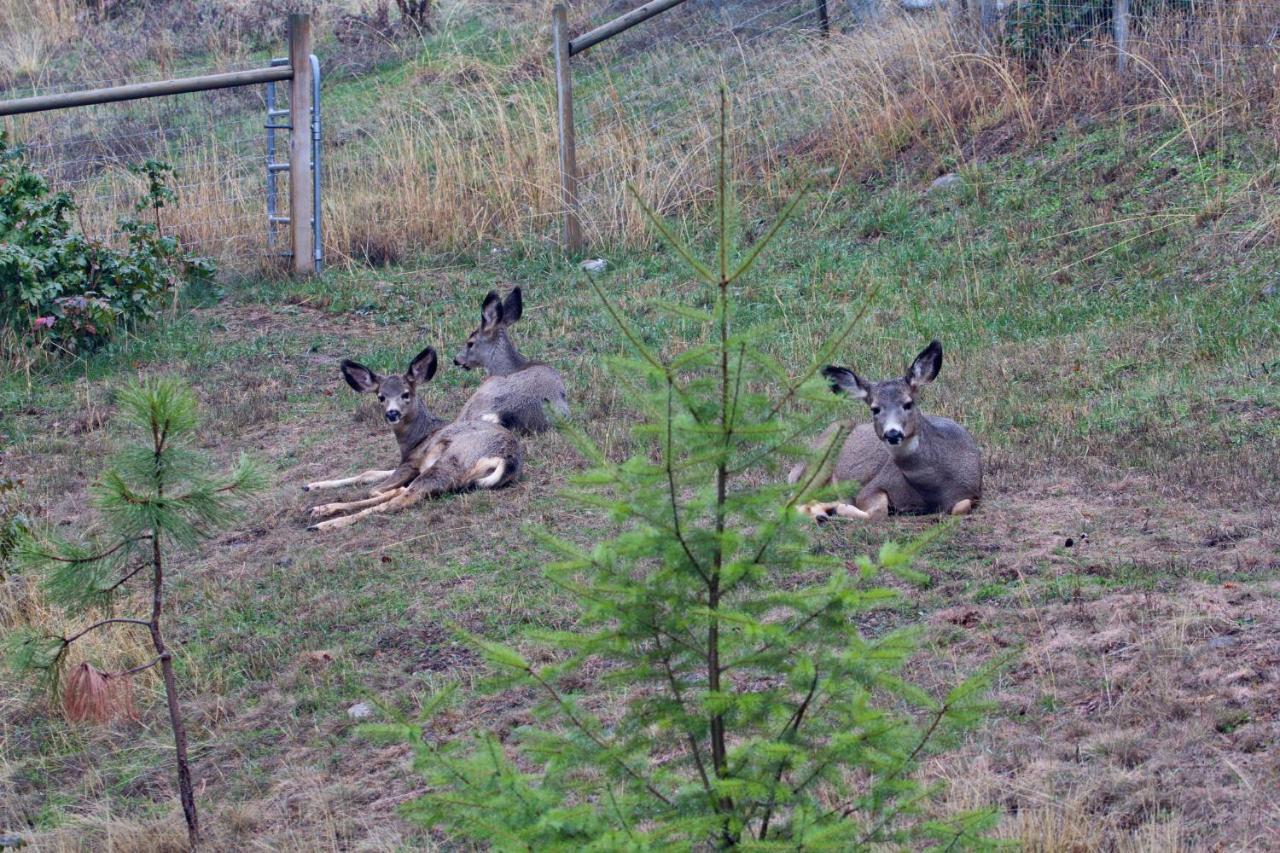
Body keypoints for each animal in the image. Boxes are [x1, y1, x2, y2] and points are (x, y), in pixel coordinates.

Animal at [302, 345, 522, 532]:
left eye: (406, 394)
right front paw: (311, 485)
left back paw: (324, 522)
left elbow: (374, 489)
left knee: (399, 500)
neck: (418, 438)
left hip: (450, 462)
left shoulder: (410, 463)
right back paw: (320, 509)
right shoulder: (412, 463)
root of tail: (506, 458)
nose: (392, 413)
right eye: (381, 397)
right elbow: (368, 473)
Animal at [788, 338, 977, 517]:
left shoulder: (973, 492)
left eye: (908, 404)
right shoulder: (873, 486)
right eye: (875, 409)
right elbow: (877, 511)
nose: (892, 434)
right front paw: (839, 510)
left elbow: (961, 506)